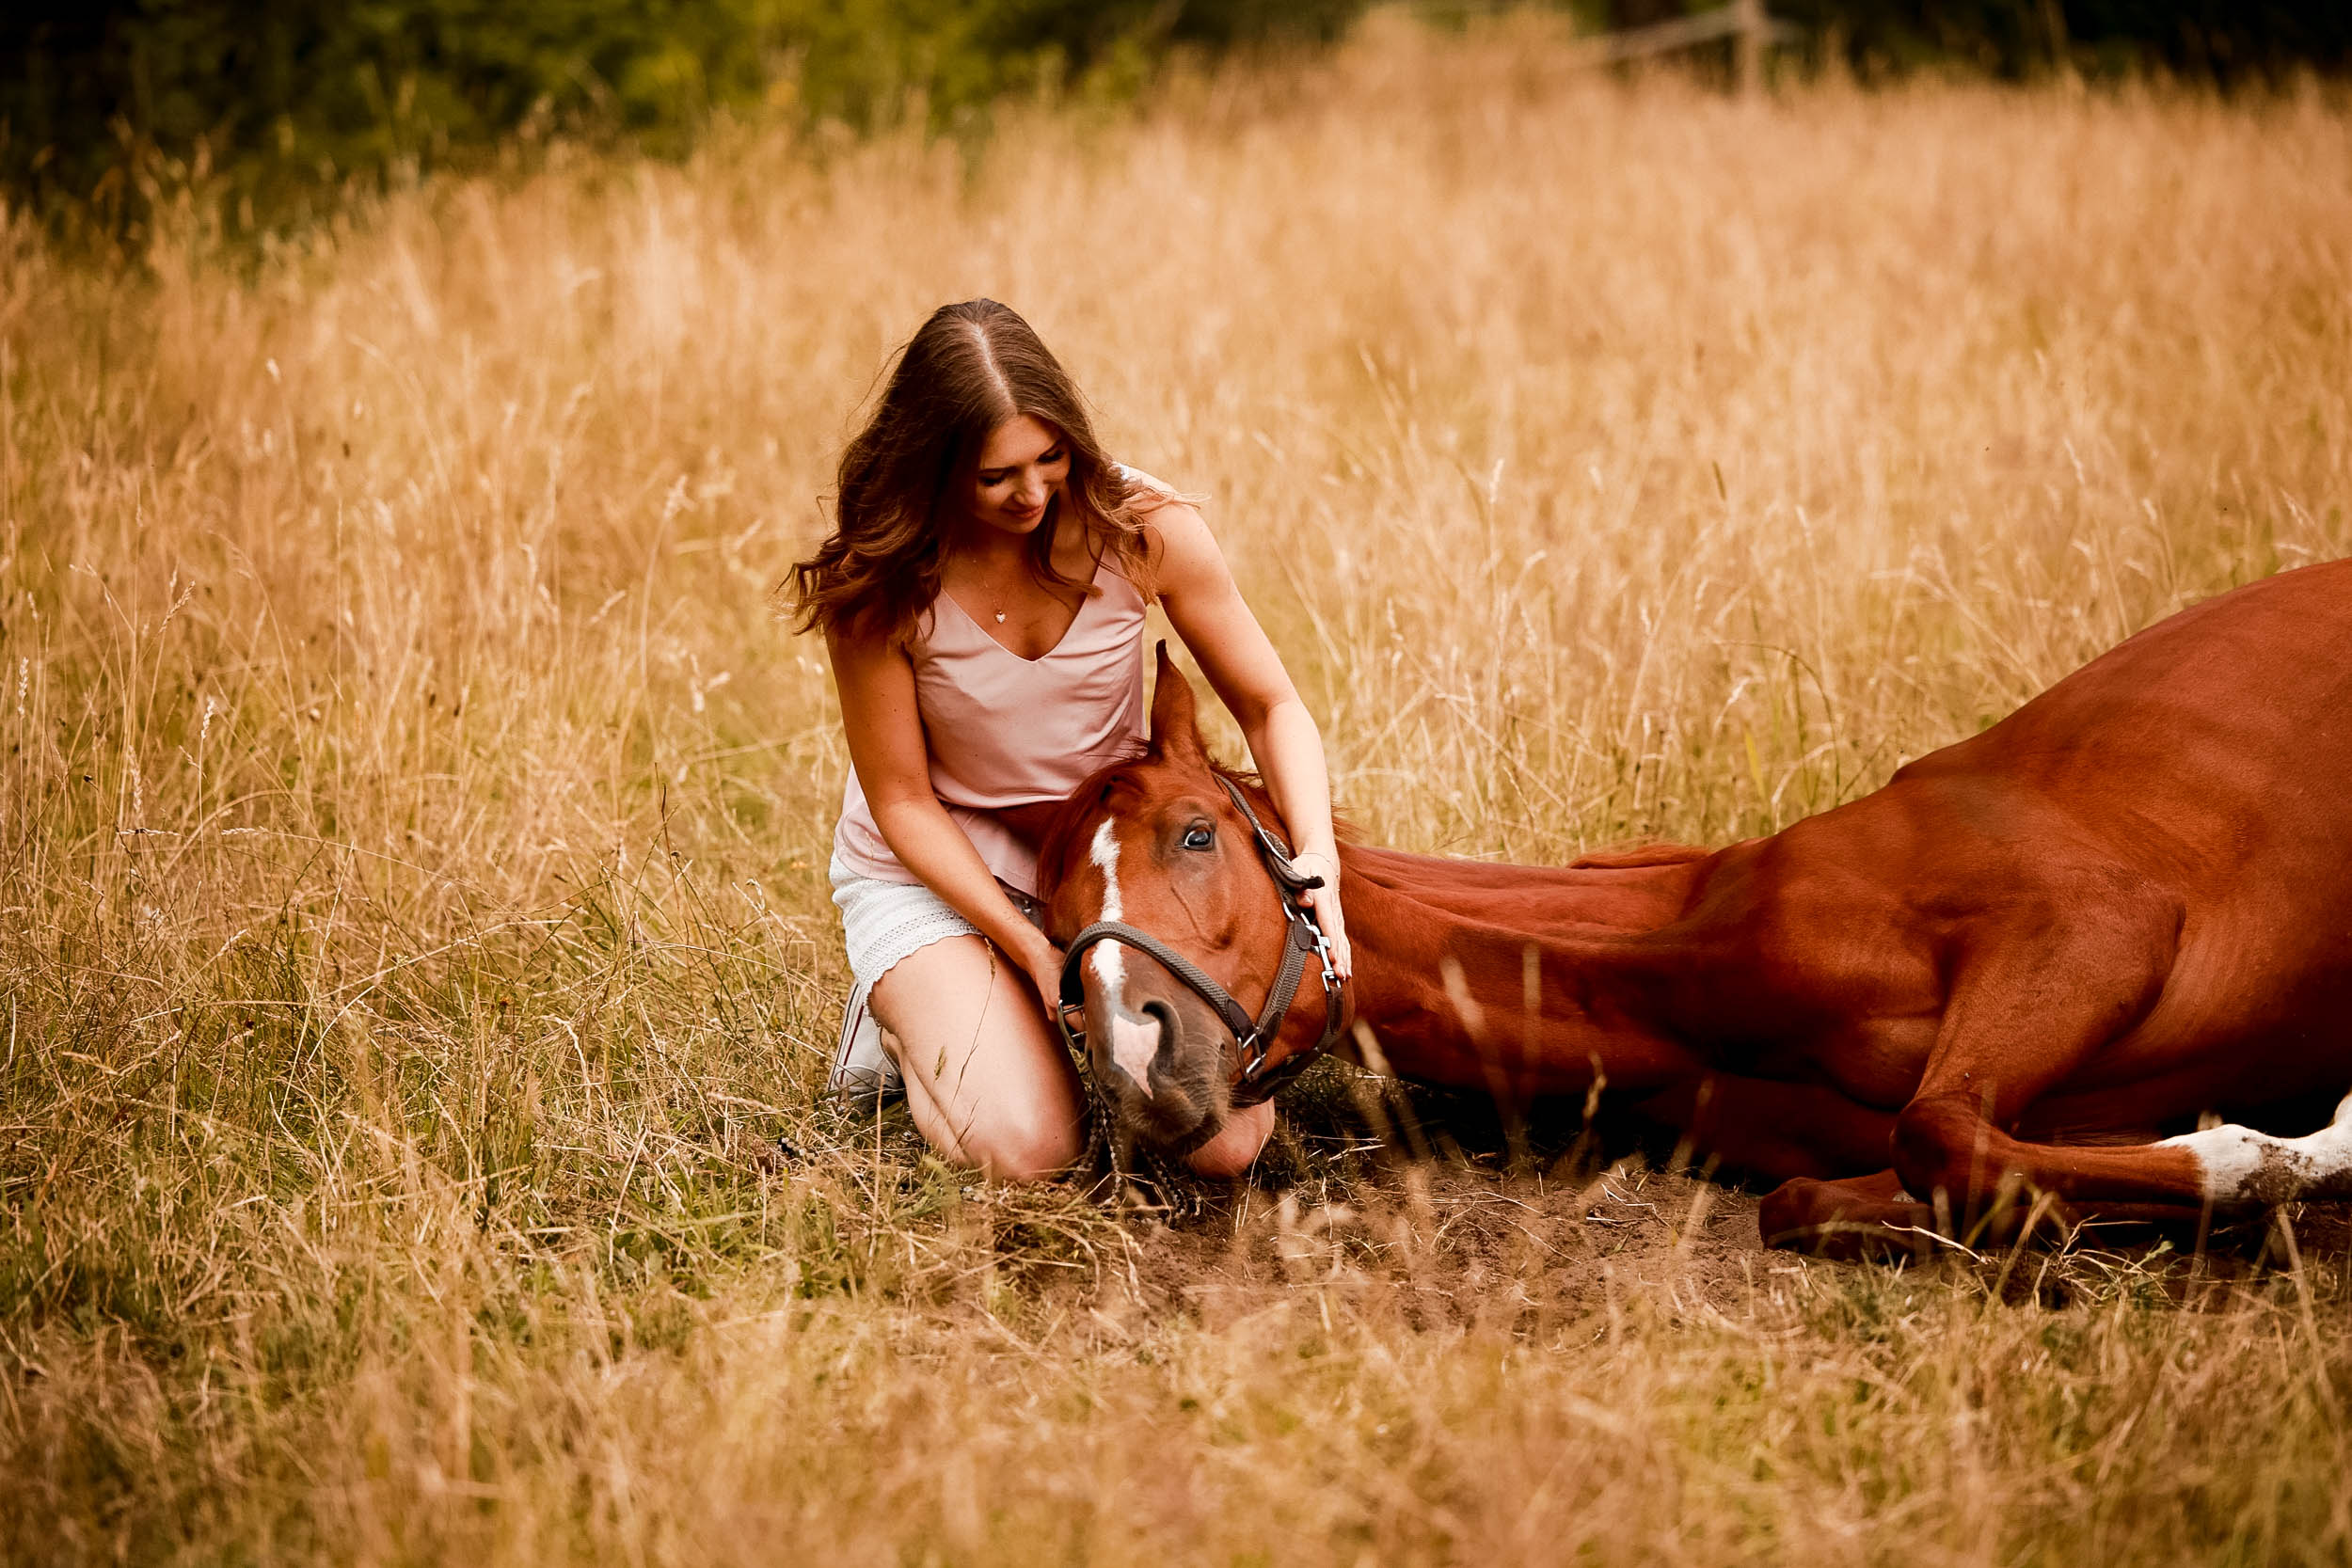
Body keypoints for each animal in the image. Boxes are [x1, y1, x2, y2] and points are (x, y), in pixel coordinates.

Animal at [1040, 557, 2352, 1259]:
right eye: (1053, 927)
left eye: (1195, 834)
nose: (1134, 1055)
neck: (1677, 961)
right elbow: (1822, 1194)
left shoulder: (2092, 922)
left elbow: (1940, 1133)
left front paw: (2290, 1156)